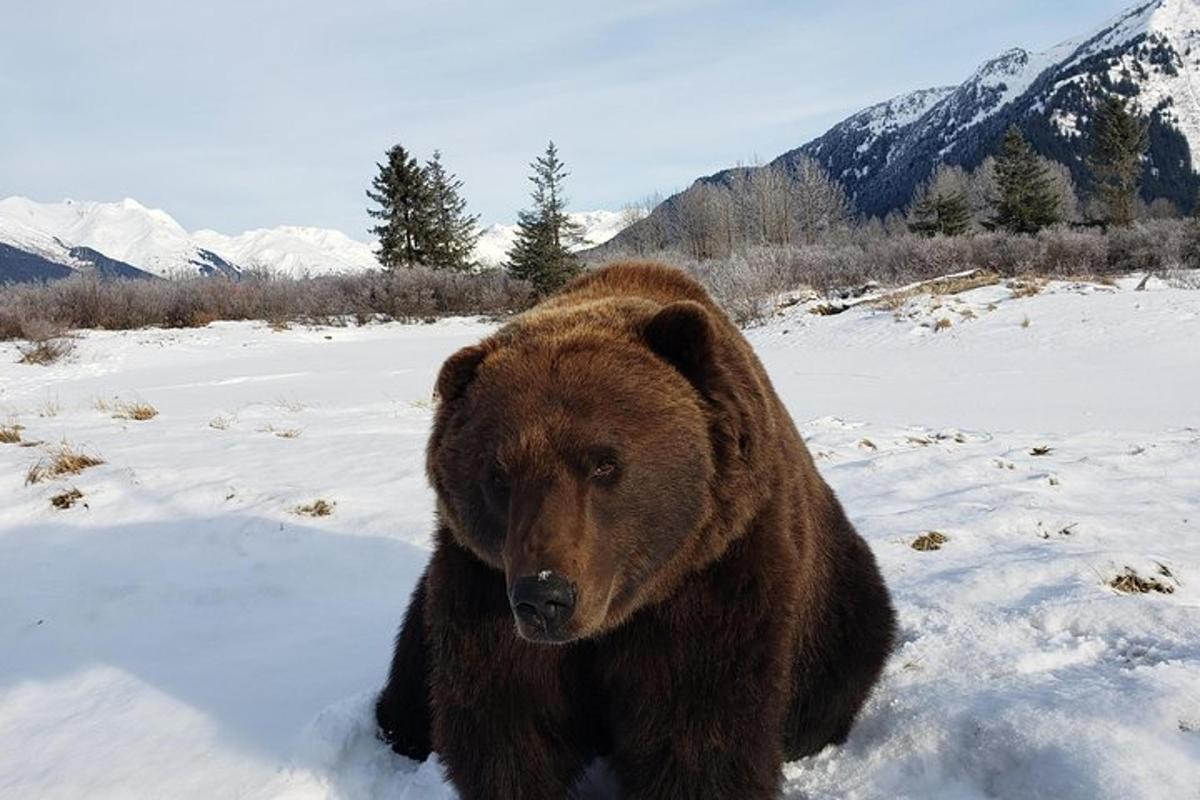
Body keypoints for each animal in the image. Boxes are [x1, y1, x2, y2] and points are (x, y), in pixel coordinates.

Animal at [374, 260, 892, 796]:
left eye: (604, 463)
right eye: (497, 475)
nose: (546, 597)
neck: (612, 620)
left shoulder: (715, 575)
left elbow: (695, 730)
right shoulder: (484, 586)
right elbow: (508, 725)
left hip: (836, 613)